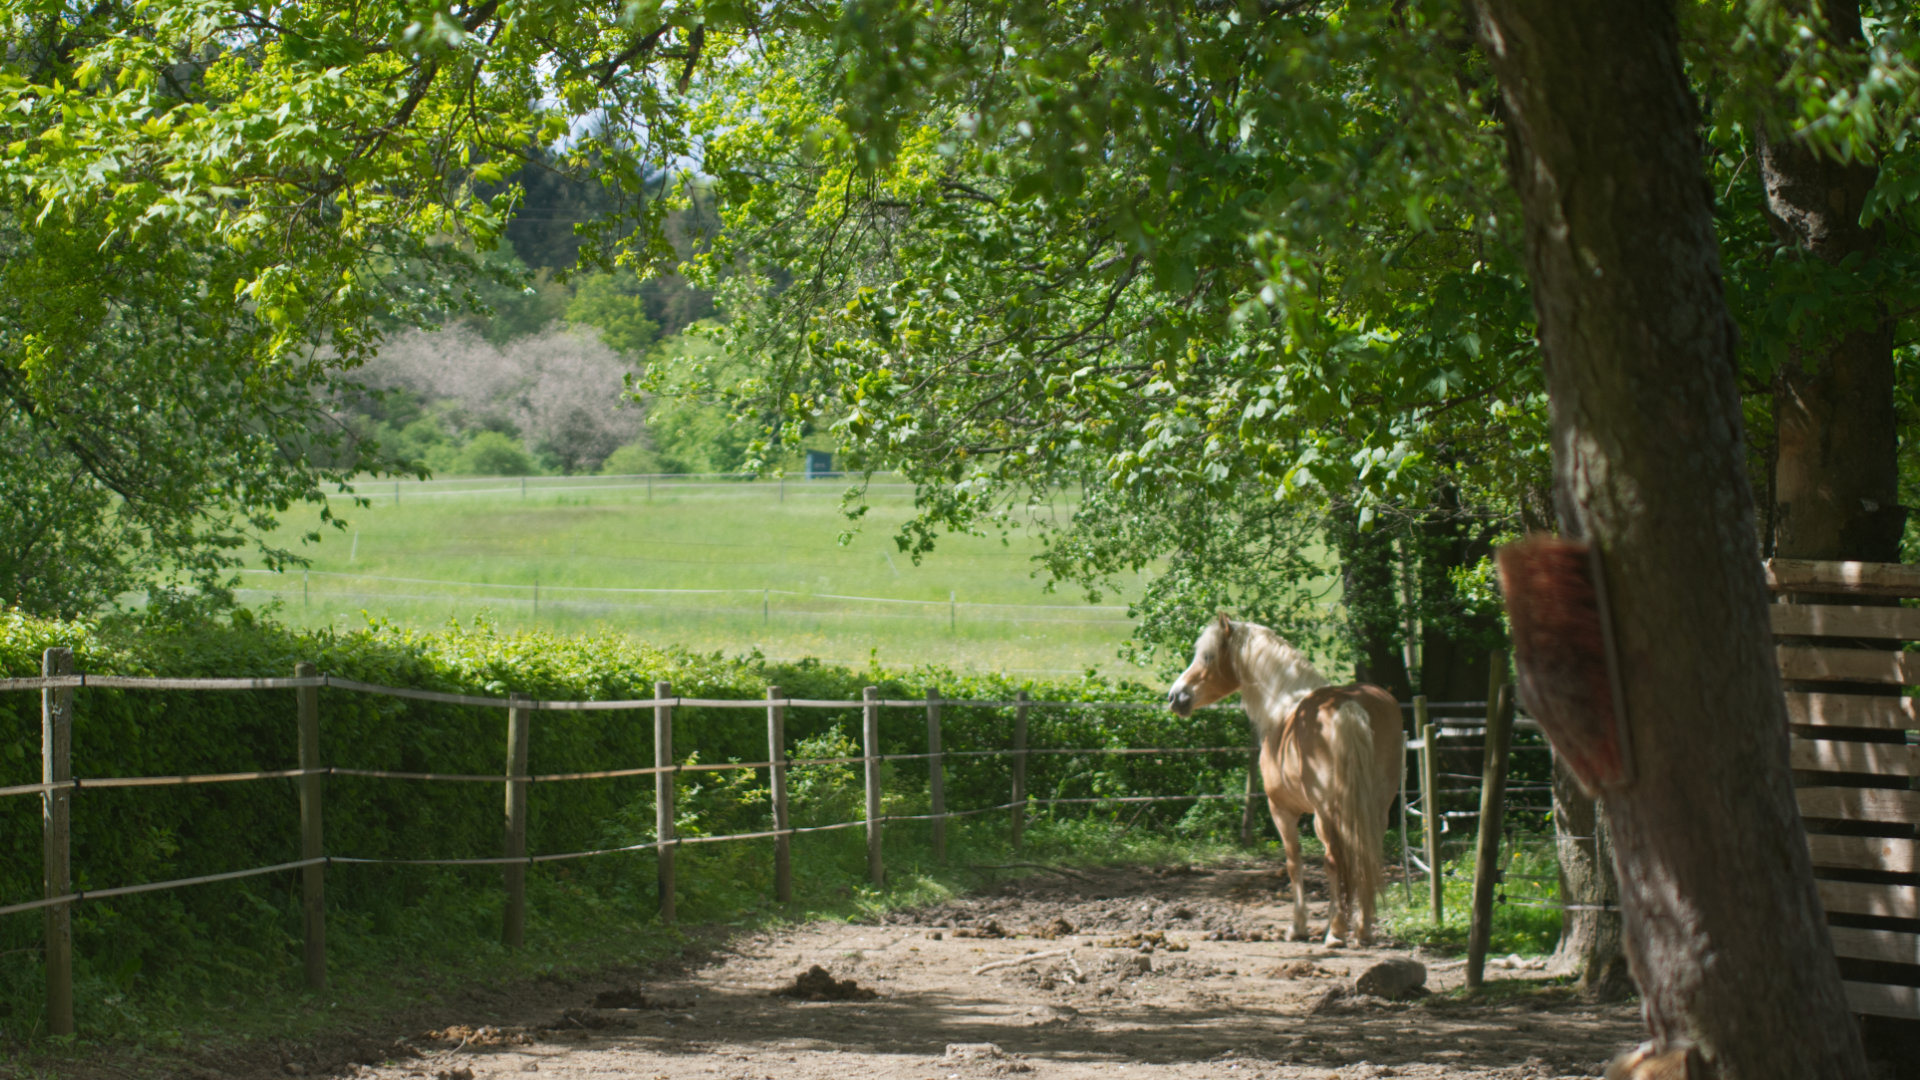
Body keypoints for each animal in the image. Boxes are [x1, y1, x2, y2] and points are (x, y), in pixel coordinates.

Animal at [1166, 614, 1404, 945]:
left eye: (1207, 657)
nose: (1175, 696)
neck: (1282, 705)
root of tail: (1349, 706)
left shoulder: (1281, 810)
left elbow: (1294, 862)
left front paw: (1298, 926)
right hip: (1376, 807)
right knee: (1367, 853)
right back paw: (1363, 930)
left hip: (1326, 813)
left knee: (1334, 860)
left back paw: (1336, 931)